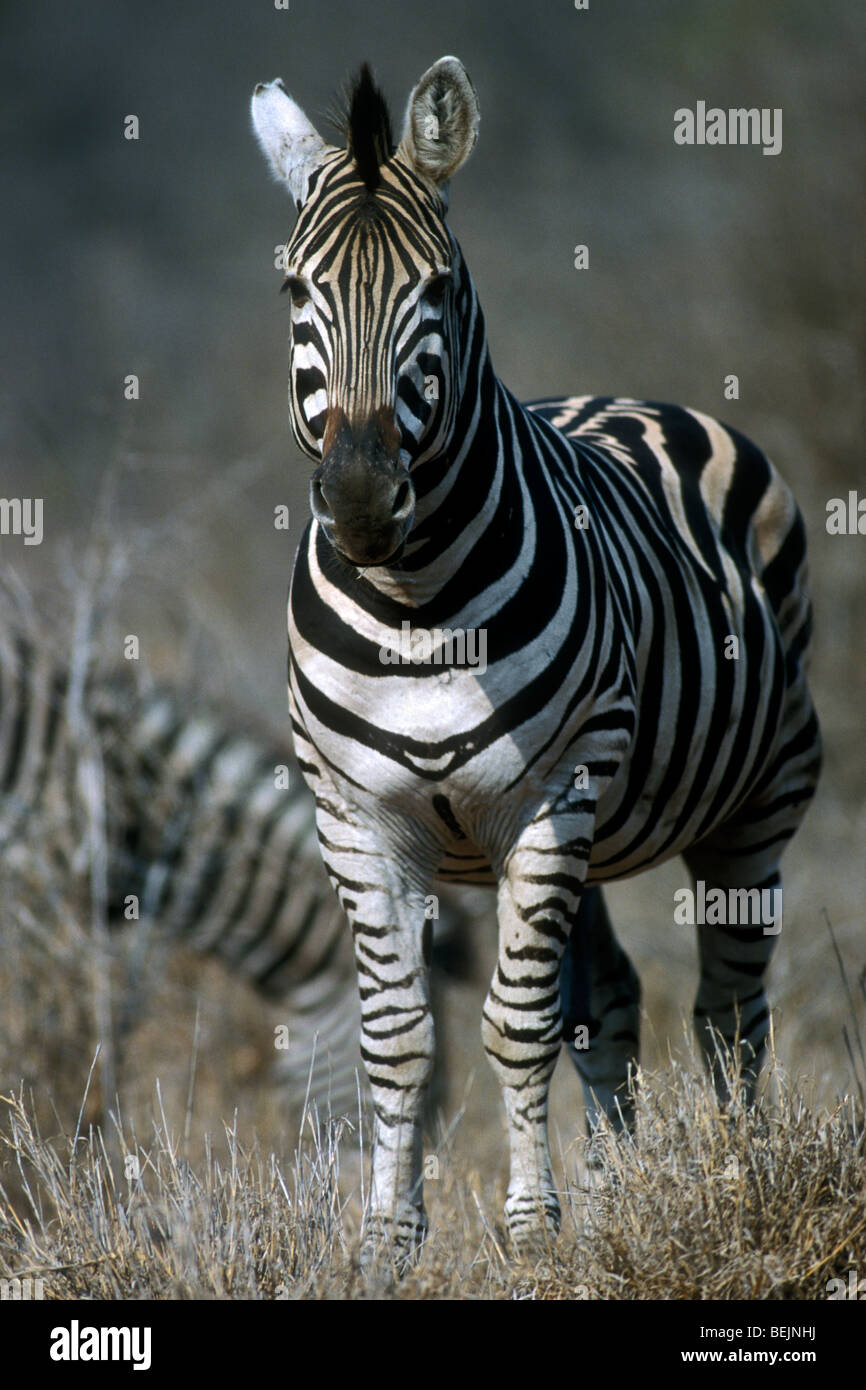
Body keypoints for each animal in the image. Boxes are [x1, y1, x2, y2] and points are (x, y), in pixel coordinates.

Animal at [250, 57, 822, 1264]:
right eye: (294, 292)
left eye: (435, 289)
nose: (361, 501)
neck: (416, 610)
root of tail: (631, 395)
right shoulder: (352, 818)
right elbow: (397, 1036)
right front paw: (388, 1241)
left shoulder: (550, 795)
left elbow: (515, 1026)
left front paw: (532, 1230)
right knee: (611, 999)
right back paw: (621, 1197)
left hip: (753, 806)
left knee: (728, 1015)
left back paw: (737, 1175)